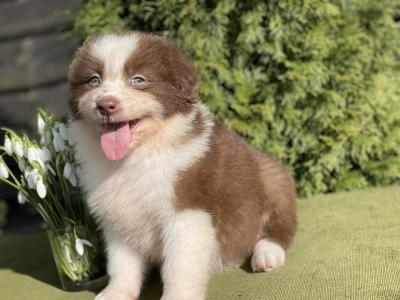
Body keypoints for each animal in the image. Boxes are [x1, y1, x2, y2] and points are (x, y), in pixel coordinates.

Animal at [68, 32, 296, 300]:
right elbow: (121, 264)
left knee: (281, 228)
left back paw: (267, 254)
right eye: (94, 80)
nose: (105, 104)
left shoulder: (186, 214)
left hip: (273, 178)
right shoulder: (117, 218)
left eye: (138, 79)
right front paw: (116, 292)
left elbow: (180, 267)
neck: (137, 156)